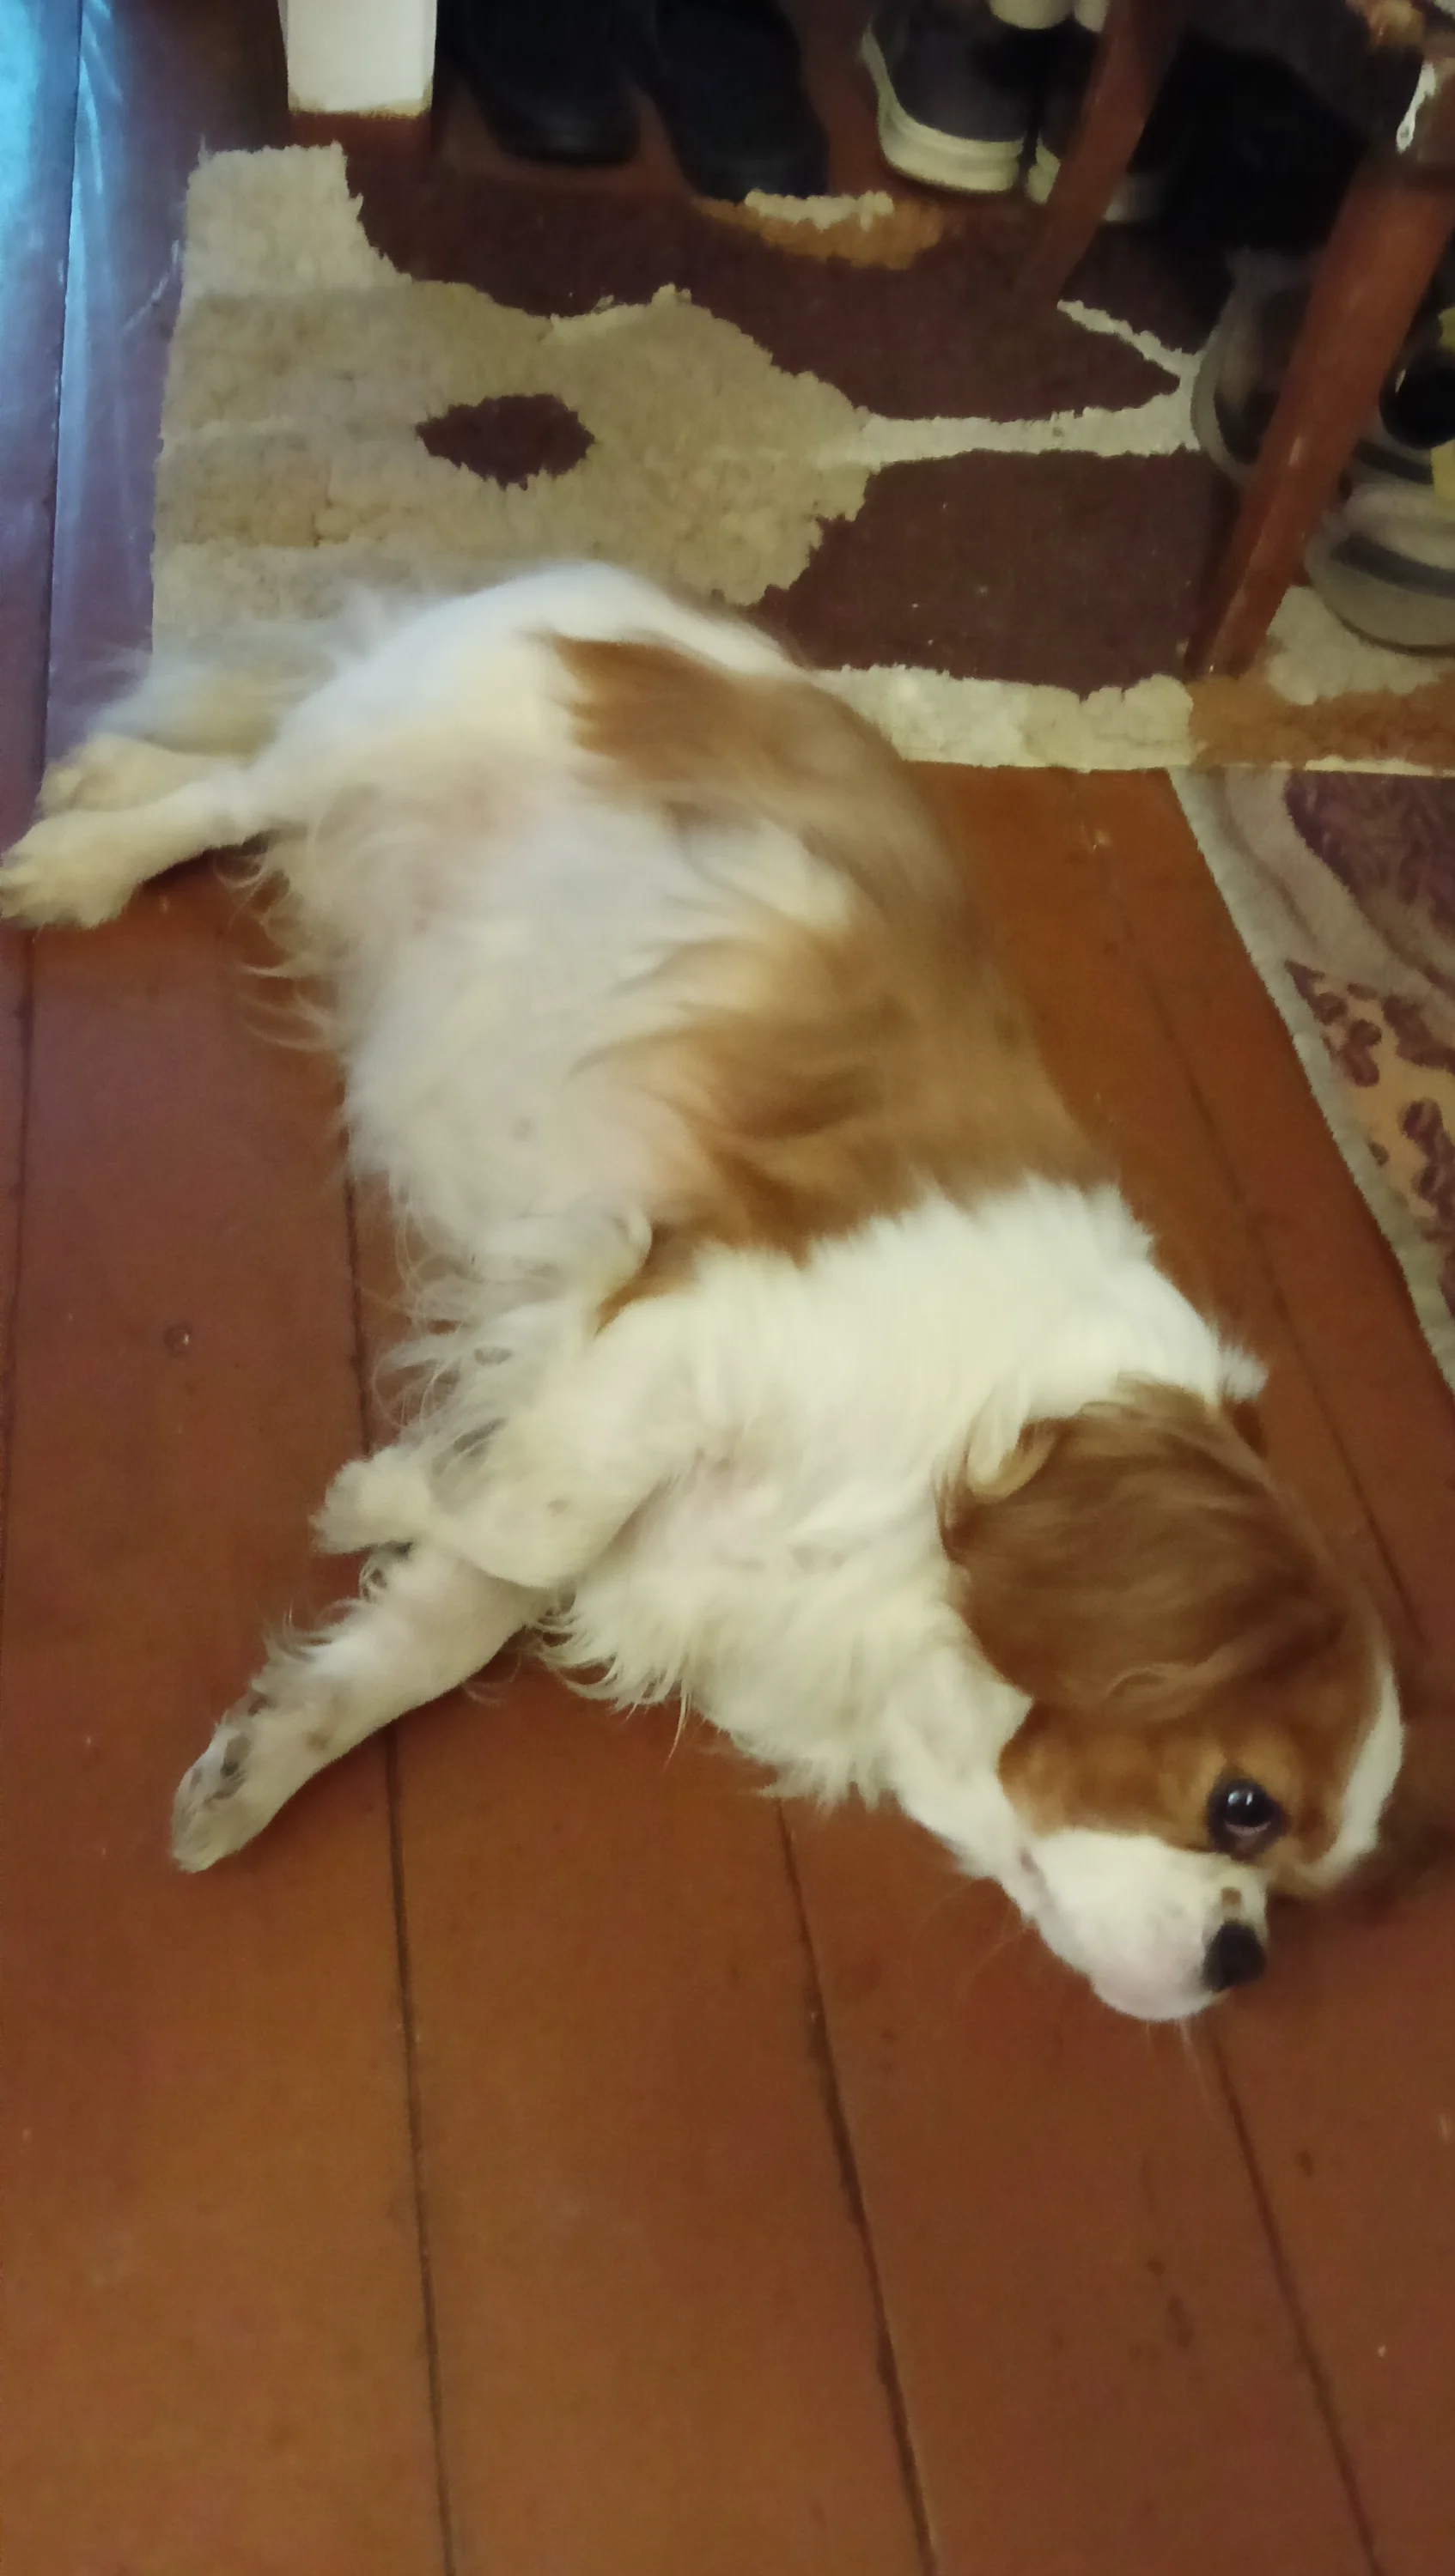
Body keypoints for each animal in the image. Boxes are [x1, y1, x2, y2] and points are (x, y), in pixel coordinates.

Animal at [0, 564, 1404, 2020]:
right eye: (1239, 1805)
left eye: (1295, 1894)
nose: (1241, 1962)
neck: (936, 1495)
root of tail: (630, 594)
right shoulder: (692, 1322)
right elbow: (526, 1518)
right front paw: (391, 1490)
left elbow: (448, 1618)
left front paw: (276, 1744)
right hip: (394, 722)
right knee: (236, 791)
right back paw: (87, 853)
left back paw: (106, 774)